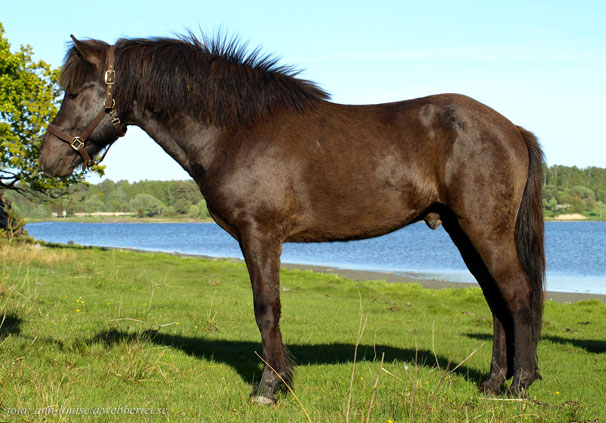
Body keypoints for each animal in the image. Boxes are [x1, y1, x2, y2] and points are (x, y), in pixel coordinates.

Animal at [40, 34, 548, 406]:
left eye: (75, 91)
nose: (48, 158)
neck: (237, 131)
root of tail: (512, 129)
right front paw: (279, 379)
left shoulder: (260, 235)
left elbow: (267, 308)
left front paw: (269, 387)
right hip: (465, 232)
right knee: (497, 301)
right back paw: (492, 384)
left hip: (484, 231)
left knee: (516, 295)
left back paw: (519, 385)